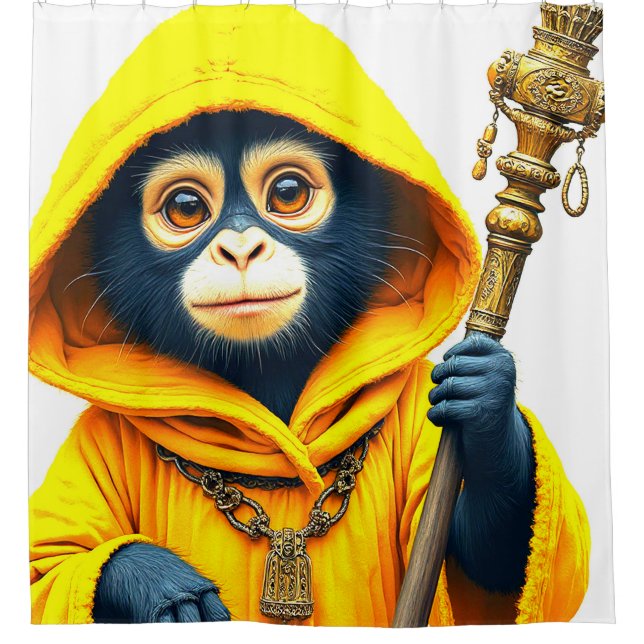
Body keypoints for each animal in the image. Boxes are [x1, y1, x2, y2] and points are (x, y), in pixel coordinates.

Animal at [82, 110, 536, 623]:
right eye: (185, 207)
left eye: (287, 193)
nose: (241, 250)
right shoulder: (99, 430)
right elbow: (57, 561)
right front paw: (162, 585)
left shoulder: (425, 401)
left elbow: (484, 561)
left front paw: (488, 400)